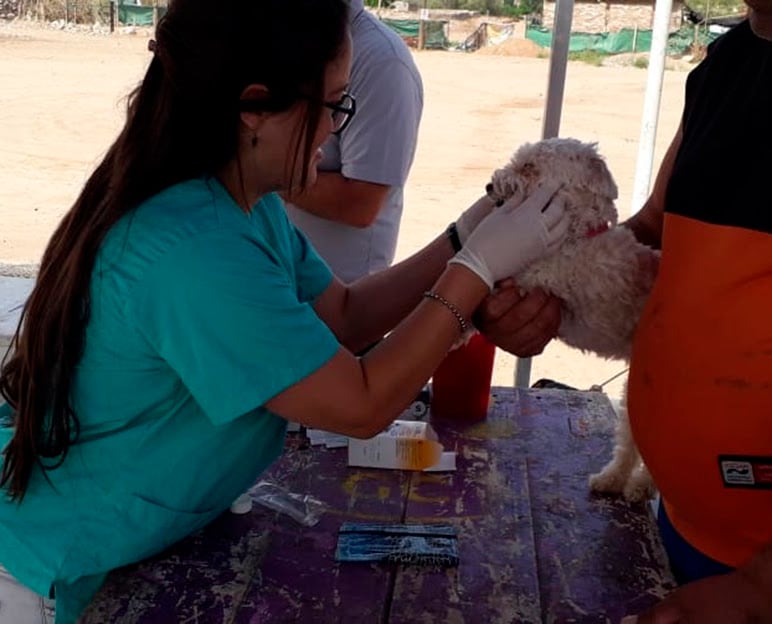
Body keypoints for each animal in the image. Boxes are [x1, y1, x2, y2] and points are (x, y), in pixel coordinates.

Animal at [488, 138, 656, 502]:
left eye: (528, 166)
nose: (489, 186)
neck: (579, 235)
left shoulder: (538, 275)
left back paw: (638, 485)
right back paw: (613, 481)